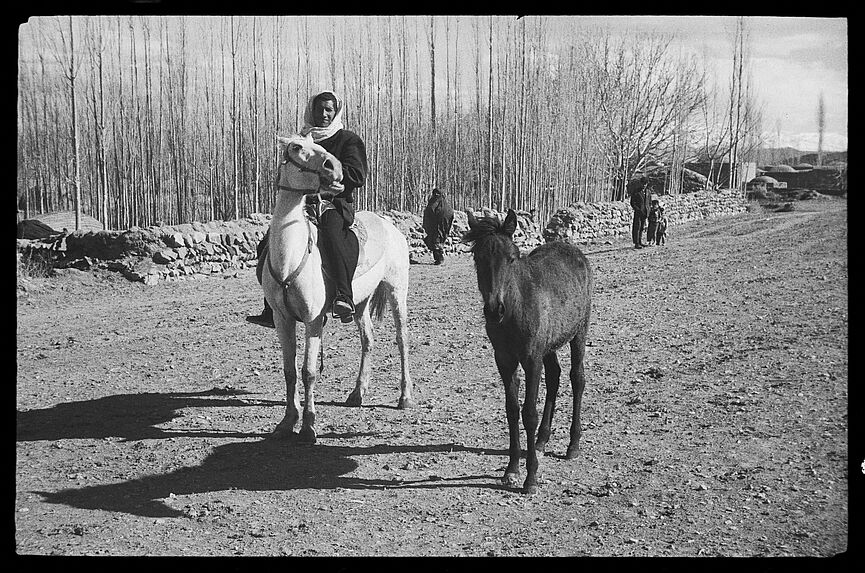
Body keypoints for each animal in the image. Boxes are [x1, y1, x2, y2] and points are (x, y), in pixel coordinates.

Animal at [262, 133, 414, 442]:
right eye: (296, 147)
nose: (335, 168)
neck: (289, 257)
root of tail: (390, 226)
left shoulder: (313, 320)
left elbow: (308, 371)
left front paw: (308, 426)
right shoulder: (282, 319)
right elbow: (289, 371)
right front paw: (287, 421)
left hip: (396, 292)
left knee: (402, 339)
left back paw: (405, 397)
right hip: (360, 302)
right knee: (368, 339)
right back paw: (357, 393)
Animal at [466, 208, 592, 494]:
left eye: (511, 258)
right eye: (478, 258)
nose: (494, 310)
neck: (516, 308)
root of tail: (575, 251)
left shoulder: (531, 359)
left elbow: (529, 414)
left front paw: (530, 477)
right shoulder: (504, 359)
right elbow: (512, 410)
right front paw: (511, 469)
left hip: (579, 331)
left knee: (577, 378)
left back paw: (573, 445)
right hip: (550, 345)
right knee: (555, 376)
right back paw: (541, 441)